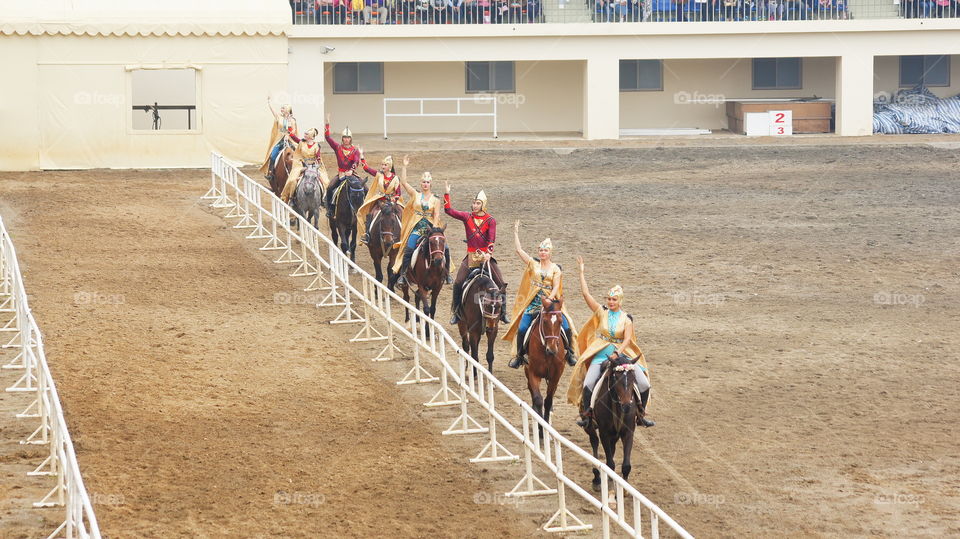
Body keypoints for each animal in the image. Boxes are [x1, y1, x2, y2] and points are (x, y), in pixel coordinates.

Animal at [523, 296, 568, 426]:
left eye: (560, 322)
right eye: (545, 322)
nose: (552, 350)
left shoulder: (556, 376)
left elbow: (548, 401)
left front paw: (546, 422)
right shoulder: (533, 373)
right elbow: (538, 400)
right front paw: (540, 427)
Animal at [583, 353, 641, 490]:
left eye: (633, 377)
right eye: (616, 378)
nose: (627, 406)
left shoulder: (628, 432)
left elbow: (626, 465)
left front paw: (625, 489)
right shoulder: (604, 433)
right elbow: (610, 463)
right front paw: (609, 485)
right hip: (590, 427)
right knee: (594, 442)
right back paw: (597, 478)